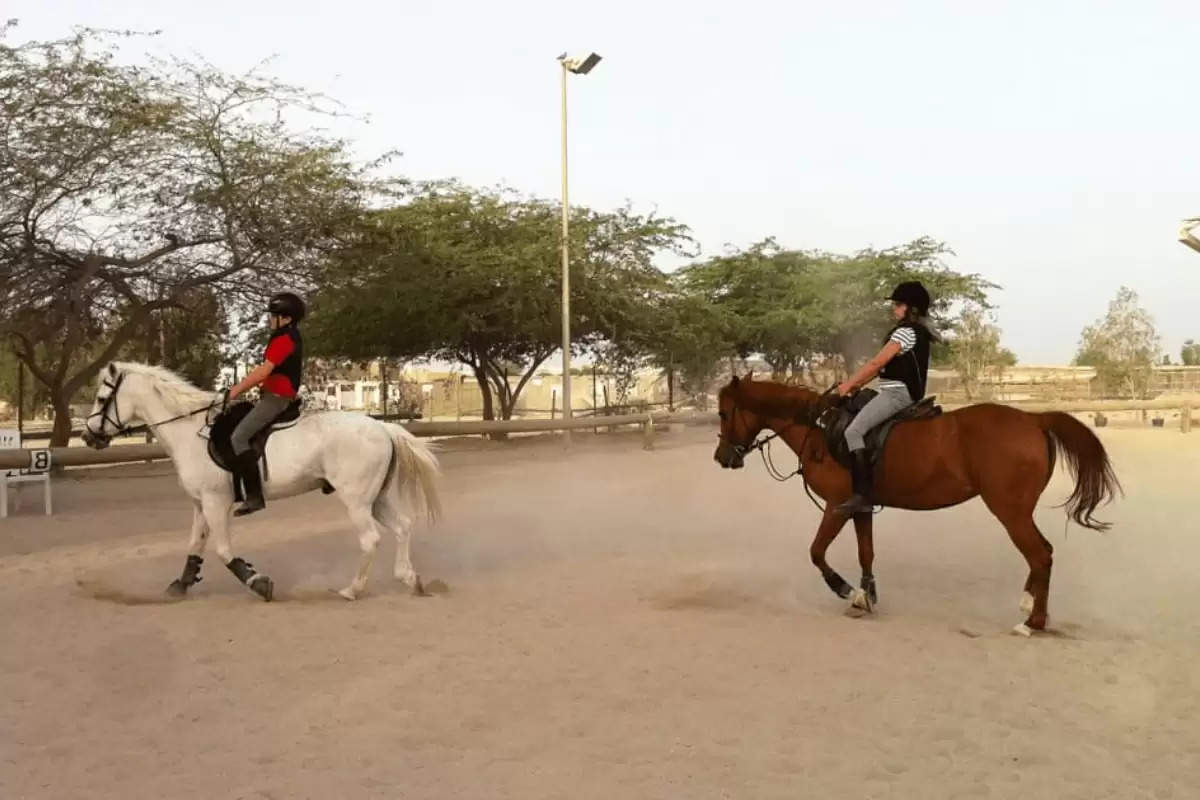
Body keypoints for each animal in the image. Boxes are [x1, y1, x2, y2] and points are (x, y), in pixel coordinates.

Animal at [82, 362, 444, 599]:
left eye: (101, 399)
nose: (87, 436)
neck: (189, 430)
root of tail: (383, 427)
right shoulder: (201, 504)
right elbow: (194, 546)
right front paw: (181, 585)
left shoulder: (215, 502)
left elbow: (223, 551)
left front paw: (258, 582)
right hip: (375, 499)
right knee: (403, 527)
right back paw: (410, 579)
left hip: (356, 501)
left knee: (370, 539)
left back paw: (352, 590)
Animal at [710, 376, 1113, 638]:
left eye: (724, 413)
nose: (722, 457)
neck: (821, 430)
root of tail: (1034, 418)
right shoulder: (860, 507)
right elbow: (866, 552)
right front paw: (866, 597)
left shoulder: (837, 505)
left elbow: (817, 552)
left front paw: (847, 591)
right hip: (1017, 512)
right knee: (1041, 554)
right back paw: (1029, 608)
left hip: (1009, 511)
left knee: (1039, 555)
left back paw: (1032, 622)